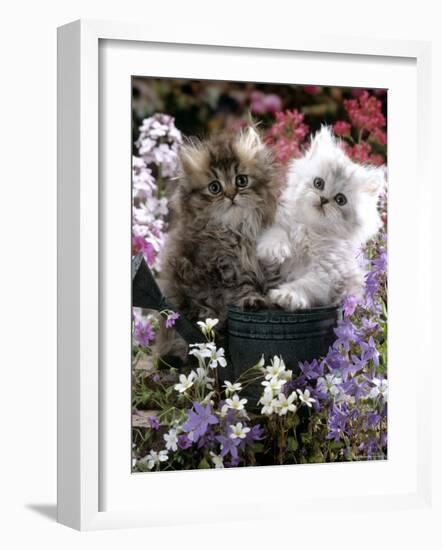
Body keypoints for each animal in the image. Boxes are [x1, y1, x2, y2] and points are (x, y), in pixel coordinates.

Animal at [159, 127, 282, 360]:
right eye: (215, 188)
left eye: (241, 181)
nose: (231, 195)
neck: (238, 230)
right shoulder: (225, 267)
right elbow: (243, 289)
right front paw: (254, 302)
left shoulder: (267, 260)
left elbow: (275, 281)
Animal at [258, 126, 386, 312]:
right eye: (318, 183)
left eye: (340, 199)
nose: (324, 199)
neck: (311, 231)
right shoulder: (282, 233)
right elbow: (277, 233)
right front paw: (274, 250)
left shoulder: (327, 274)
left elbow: (304, 285)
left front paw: (285, 296)